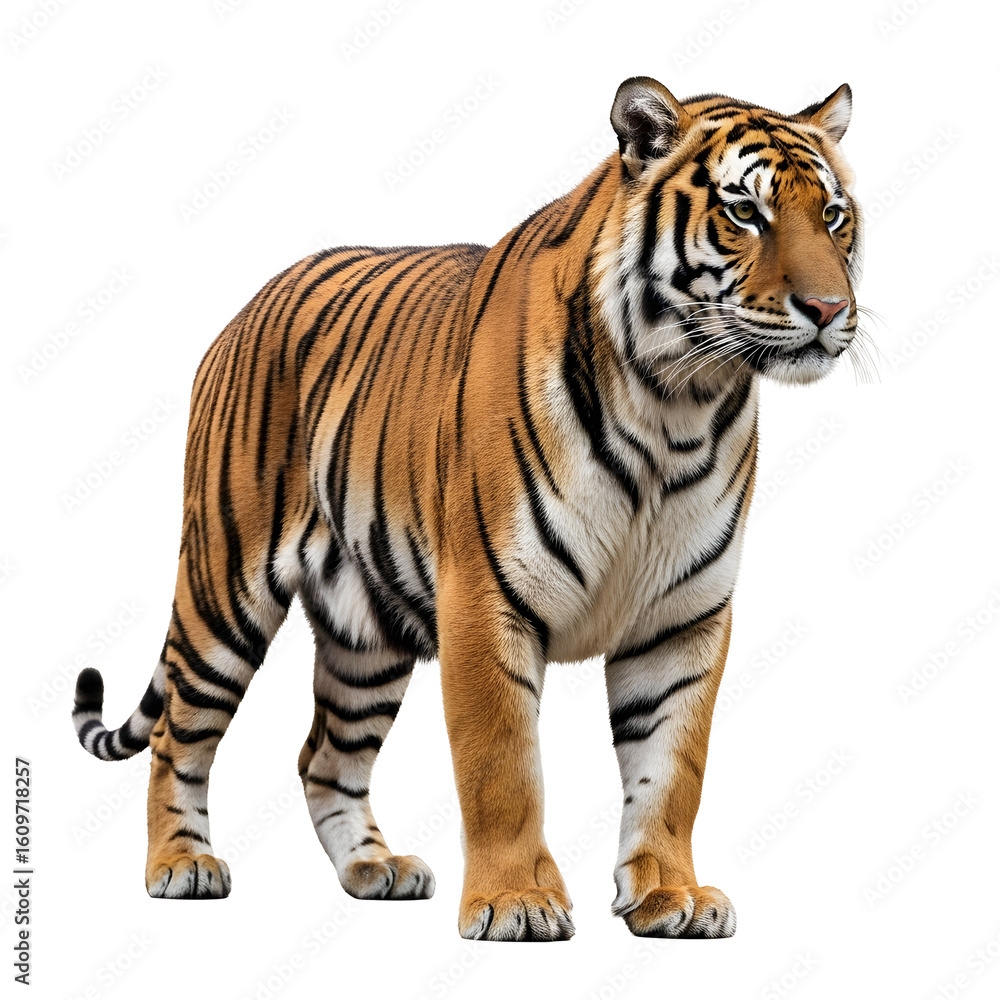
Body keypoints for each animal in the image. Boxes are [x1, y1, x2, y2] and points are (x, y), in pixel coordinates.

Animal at [72, 75, 863, 940]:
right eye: (744, 211)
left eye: (832, 215)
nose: (829, 309)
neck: (676, 404)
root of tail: (246, 308)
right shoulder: (486, 596)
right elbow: (502, 765)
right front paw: (517, 902)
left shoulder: (683, 618)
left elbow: (672, 770)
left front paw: (671, 895)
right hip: (225, 587)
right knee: (178, 733)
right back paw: (181, 864)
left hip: (366, 633)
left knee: (324, 755)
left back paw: (373, 868)